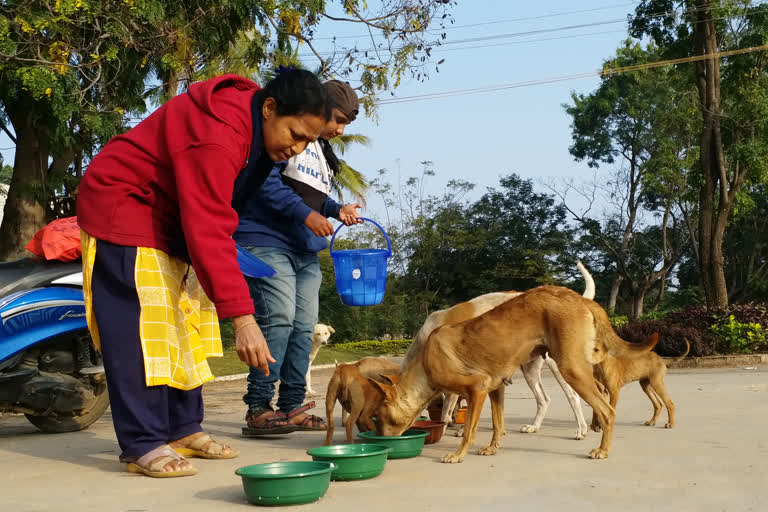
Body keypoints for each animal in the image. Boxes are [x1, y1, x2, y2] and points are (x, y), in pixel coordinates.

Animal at [368, 286, 656, 462]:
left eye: (379, 417)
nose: (383, 441)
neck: (425, 362)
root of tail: (578, 297)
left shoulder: (477, 387)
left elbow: (469, 428)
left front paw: (458, 454)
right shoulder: (496, 387)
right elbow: (498, 423)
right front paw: (492, 448)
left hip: (569, 368)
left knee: (606, 409)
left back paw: (600, 447)